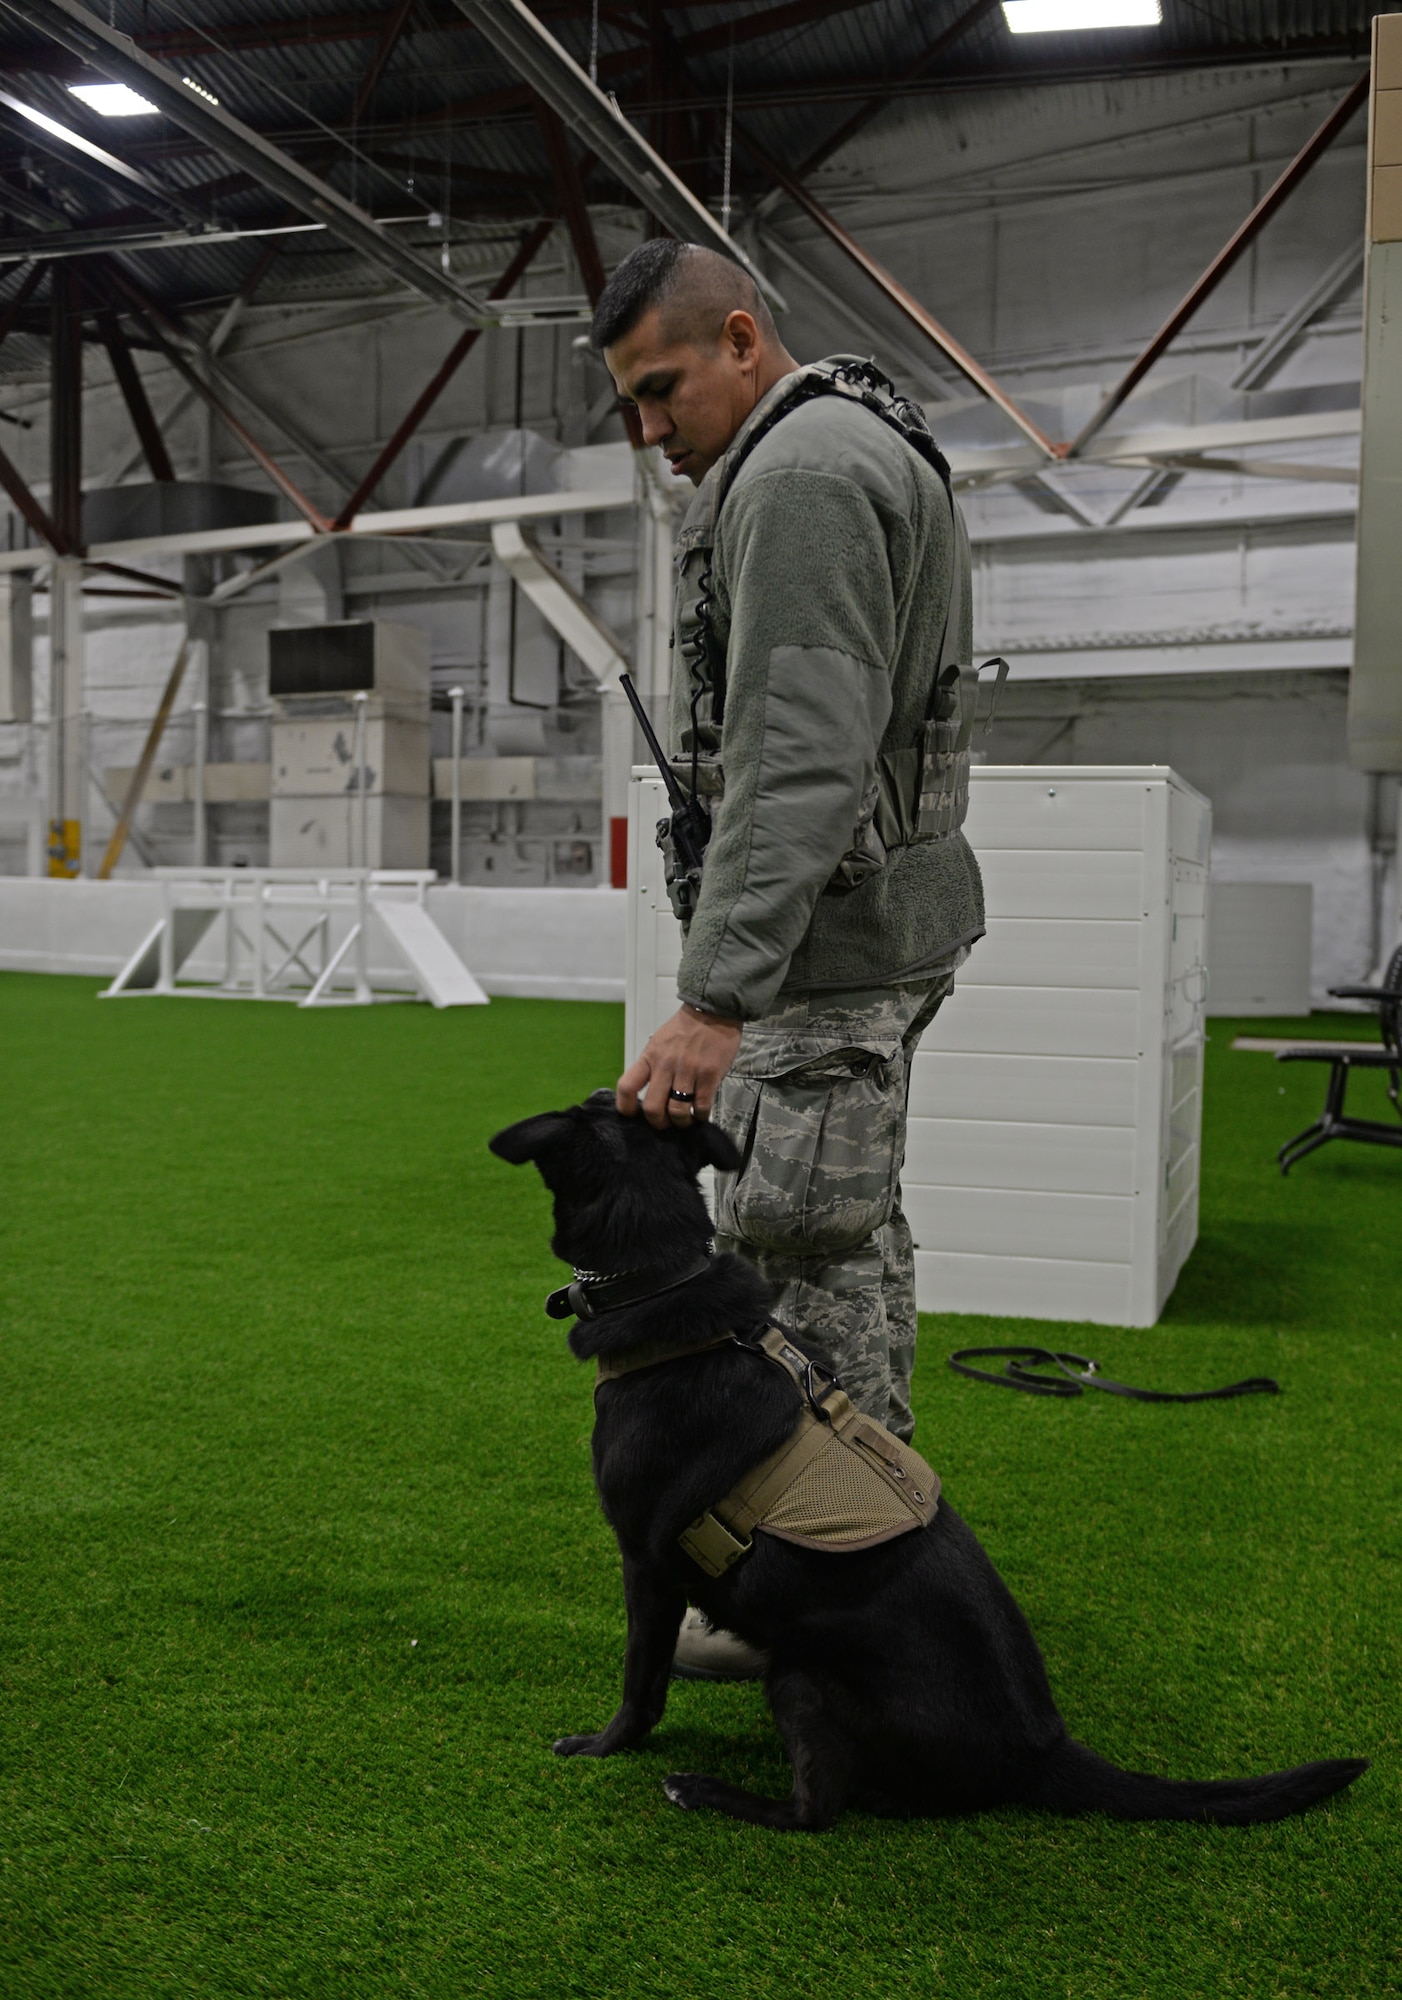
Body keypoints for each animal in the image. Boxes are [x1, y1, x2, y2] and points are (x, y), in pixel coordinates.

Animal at [486, 1096, 1360, 1832]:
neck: (665, 1282)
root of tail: (1043, 1748)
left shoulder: (646, 1564)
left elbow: (641, 1681)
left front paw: (604, 1747)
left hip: (802, 1675)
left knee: (817, 1811)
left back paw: (705, 1790)